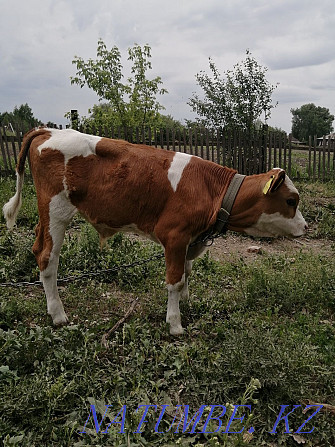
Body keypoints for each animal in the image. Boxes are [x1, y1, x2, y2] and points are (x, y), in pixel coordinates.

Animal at [2, 128, 308, 334]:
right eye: (291, 201)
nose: (305, 228)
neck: (212, 189)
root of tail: (49, 130)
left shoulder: (189, 240)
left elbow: (187, 273)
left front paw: (186, 301)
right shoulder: (174, 235)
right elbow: (174, 280)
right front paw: (175, 323)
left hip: (46, 216)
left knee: (37, 247)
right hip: (57, 211)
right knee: (47, 258)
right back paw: (58, 314)